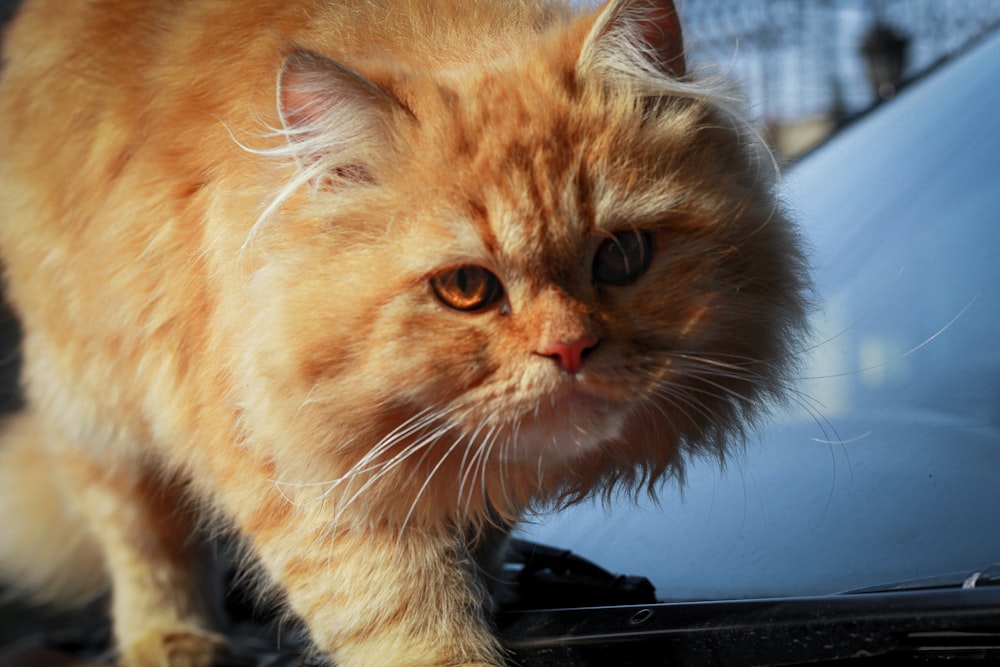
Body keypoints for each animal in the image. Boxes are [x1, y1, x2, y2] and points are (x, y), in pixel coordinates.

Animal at [0, 0, 808, 664]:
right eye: (467, 290)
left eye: (622, 256)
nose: (570, 348)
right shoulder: (302, 468)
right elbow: (404, 619)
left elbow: (479, 529)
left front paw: (487, 582)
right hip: (96, 403)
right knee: (143, 540)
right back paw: (172, 640)